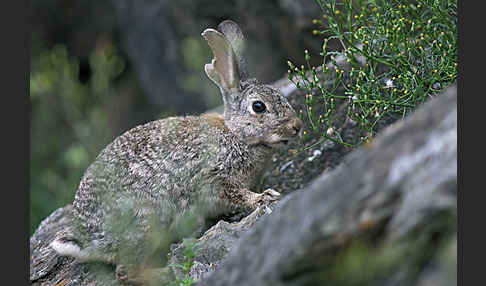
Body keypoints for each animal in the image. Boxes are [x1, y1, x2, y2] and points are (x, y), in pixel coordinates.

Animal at [48, 19, 300, 284]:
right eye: (259, 107)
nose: (297, 126)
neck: (237, 135)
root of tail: (90, 242)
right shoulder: (218, 178)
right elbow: (238, 195)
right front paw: (265, 197)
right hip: (146, 223)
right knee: (126, 272)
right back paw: (165, 272)